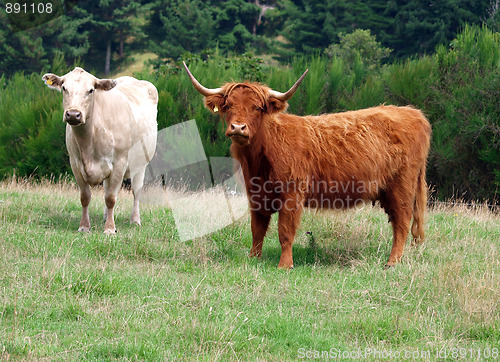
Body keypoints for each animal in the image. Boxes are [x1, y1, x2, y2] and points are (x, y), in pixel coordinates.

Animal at [43, 67, 157, 235]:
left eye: (91, 90)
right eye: (64, 88)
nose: (73, 114)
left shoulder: (119, 163)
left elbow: (111, 198)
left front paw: (109, 228)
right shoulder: (75, 163)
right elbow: (85, 197)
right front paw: (84, 226)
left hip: (141, 165)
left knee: (136, 191)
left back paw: (135, 220)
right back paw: (105, 217)